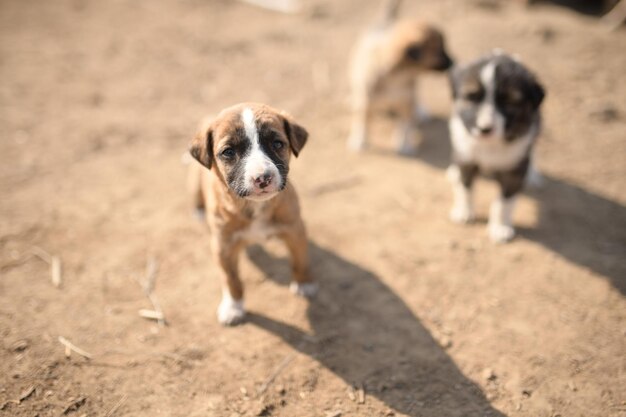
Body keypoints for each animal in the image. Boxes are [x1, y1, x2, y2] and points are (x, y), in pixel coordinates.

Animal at [185, 102, 312, 324]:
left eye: (277, 143)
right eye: (228, 152)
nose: (263, 178)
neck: (254, 207)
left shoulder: (295, 229)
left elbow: (300, 259)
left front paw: (303, 283)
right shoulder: (223, 246)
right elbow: (231, 278)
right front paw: (233, 307)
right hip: (194, 183)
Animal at [346, 0, 454, 154]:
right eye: (439, 50)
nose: (453, 62)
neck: (397, 76)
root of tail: (387, 22)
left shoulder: (405, 102)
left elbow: (404, 126)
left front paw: (405, 145)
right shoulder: (367, 100)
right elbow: (363, 121)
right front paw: (359, 141)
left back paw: (420, 111)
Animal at [446, 50, 544, 242]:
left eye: (508, 102)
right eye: (472, 97)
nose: (485, 129)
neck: (490, 145)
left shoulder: (513, 171)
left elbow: (505, 202)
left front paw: (500, 227)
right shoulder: (467, 157)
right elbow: (465, 187)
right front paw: (464, 211)